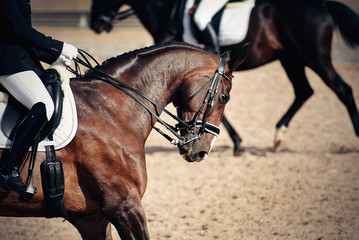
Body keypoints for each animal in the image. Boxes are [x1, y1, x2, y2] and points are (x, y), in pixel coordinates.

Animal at [91, 0, 359, 155]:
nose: (96, 25)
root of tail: (323, 4)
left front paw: (235, 142)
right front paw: (236, 142)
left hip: (312, 56)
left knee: (342, 89)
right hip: (291, 58)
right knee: (304, 91)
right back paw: (278, 136)